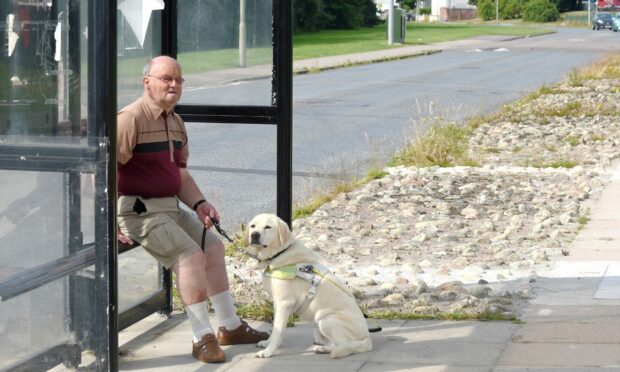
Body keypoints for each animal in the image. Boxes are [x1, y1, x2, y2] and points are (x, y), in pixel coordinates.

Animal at [246, 214, 372, 358]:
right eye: (253, 226)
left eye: (268, 227)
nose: (254, 235)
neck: (280, 253)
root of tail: (367, 339)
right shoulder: (276, 304)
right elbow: (274, 328)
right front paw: (267, 343)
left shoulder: (284, 304)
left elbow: (278, 332)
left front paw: (268, 352)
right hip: (317, 327)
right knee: (333, 344)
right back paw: (322, 348)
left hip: (326, 320)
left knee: (344, 345)